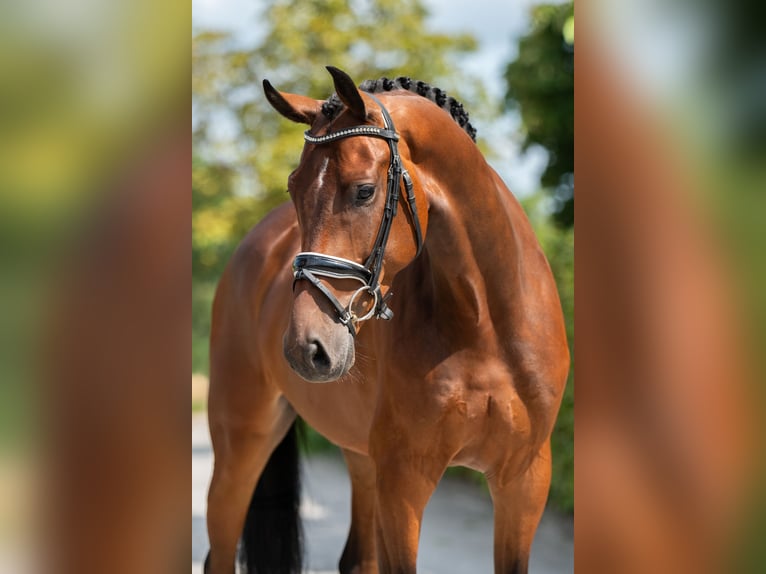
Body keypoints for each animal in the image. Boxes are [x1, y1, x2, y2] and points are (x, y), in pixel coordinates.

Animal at [204, 66, 569, 574]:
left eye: (364, 191)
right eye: (294, 187)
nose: (305, 348)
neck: (486, 327)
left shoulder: (524, 481)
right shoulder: (404, 484)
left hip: (361, 459)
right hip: (242, 443)